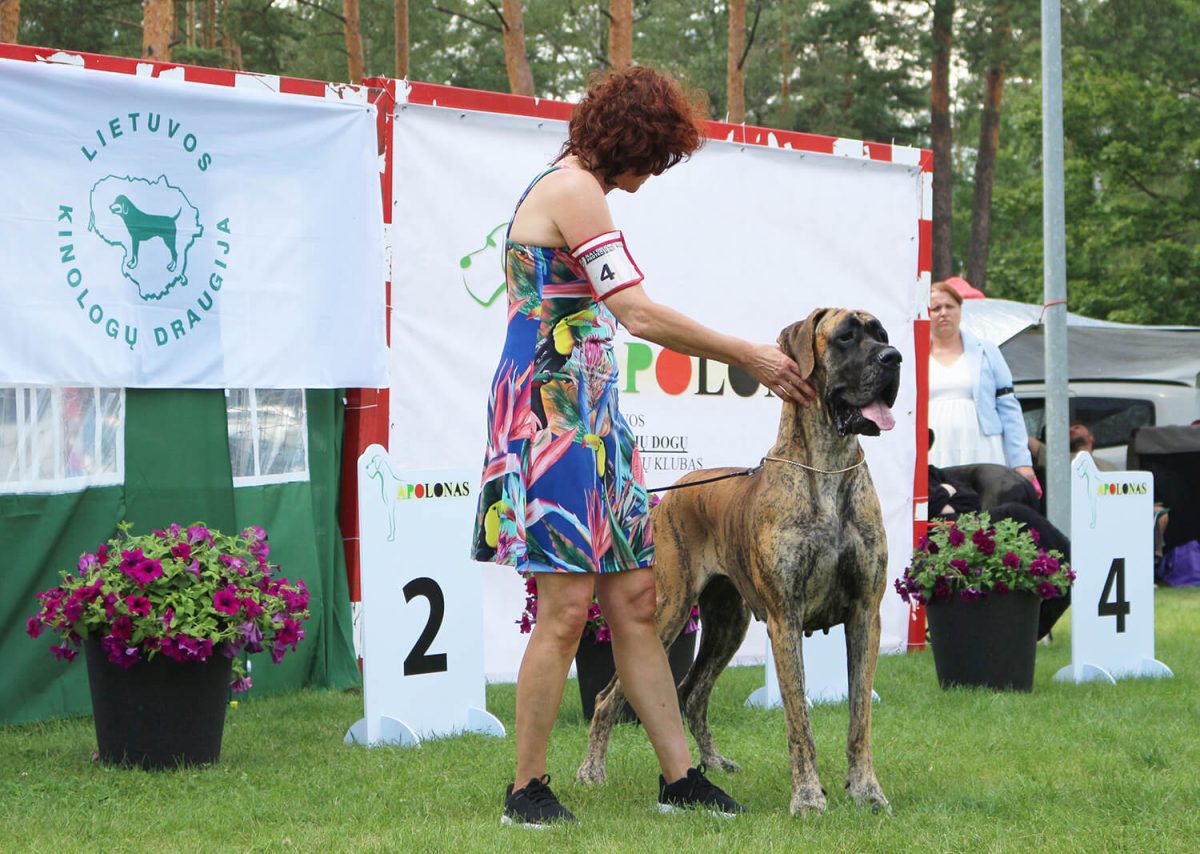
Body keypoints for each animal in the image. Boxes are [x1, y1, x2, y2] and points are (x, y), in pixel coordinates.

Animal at [577, 308, 901, 816]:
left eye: (882, 334)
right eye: (846, 337)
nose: (895, 357)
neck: (828, 466)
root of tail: (676, 489)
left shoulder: (866, 614)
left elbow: (859, 718)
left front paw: (866, 790)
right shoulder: (786, 620)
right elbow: (799, 721)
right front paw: (808, 797)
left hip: (729, 622)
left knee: (692, 694)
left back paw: (711, 764)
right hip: (668, 610)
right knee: (609, 695)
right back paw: (592, 771)